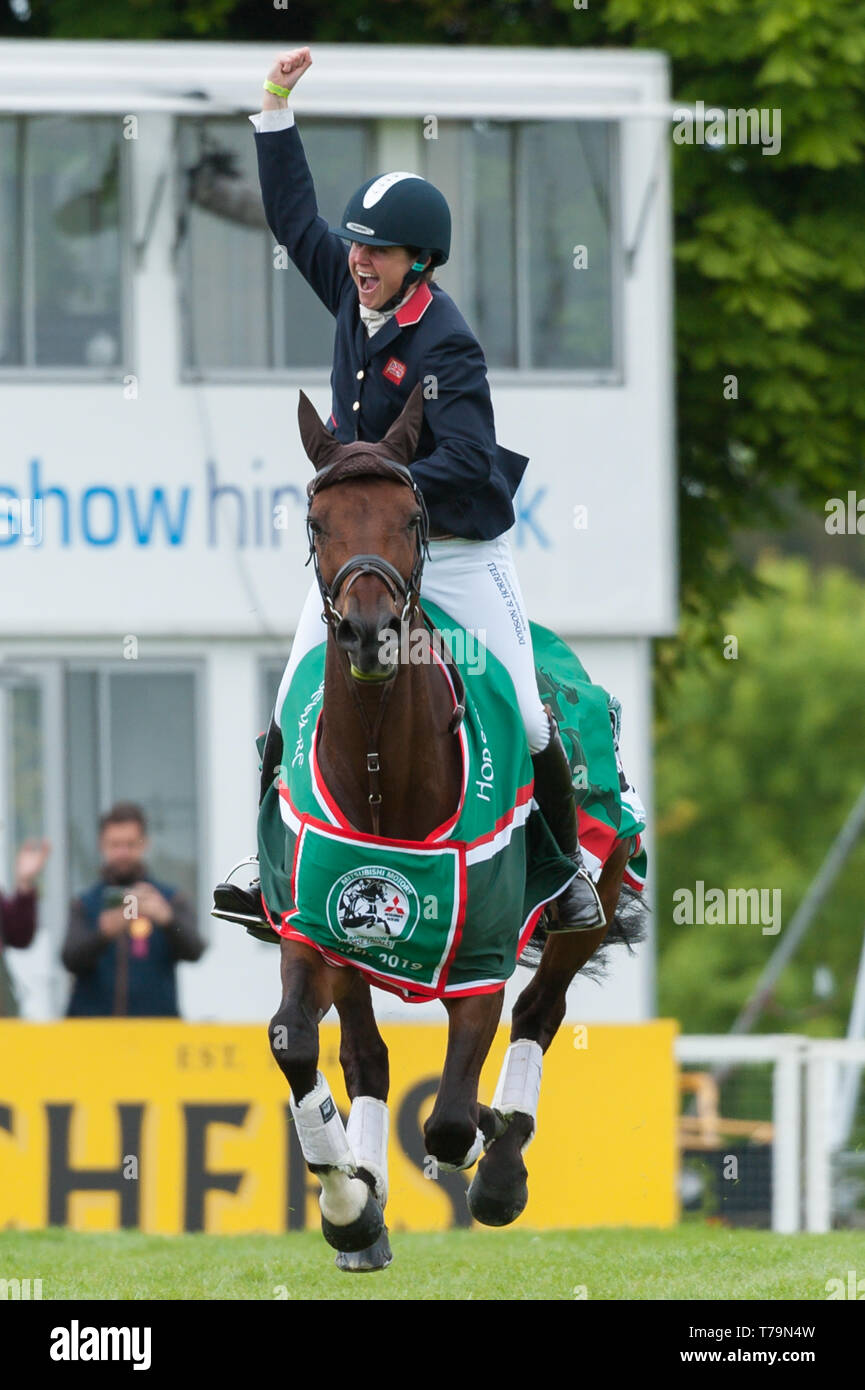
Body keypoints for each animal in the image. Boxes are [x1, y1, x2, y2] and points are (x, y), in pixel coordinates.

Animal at [257, 383, 645, 1273]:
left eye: (412, 515)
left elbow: (448, 1120)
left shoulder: (478, 966)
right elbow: (296, 1042)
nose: (367, 632)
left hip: (591, 898)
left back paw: (500, 1169)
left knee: (540, 1012)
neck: (380, 777)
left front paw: (475, 1147)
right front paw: (350, 1204)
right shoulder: (312, 930)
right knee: (364, 1057)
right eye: (316, 521)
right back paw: (364, 1199)